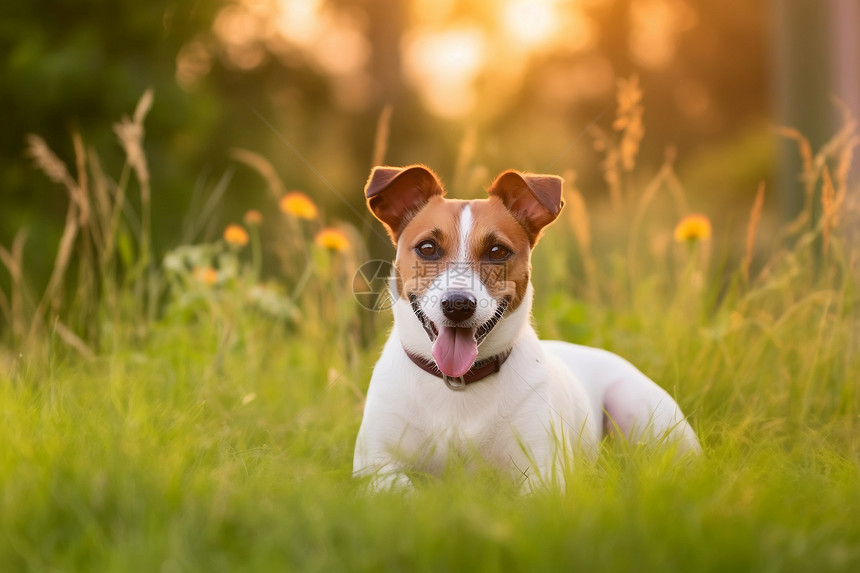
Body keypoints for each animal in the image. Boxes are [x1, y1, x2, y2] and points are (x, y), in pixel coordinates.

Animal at [352, 163, 704, 490]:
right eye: (427, 248)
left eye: (497, 251)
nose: (457, 305)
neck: (457, 385)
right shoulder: (376, 468)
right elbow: (404, 490)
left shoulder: (543, 473)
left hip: (637, 406)